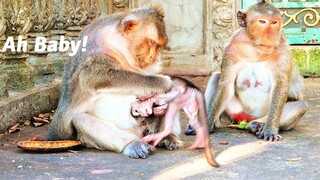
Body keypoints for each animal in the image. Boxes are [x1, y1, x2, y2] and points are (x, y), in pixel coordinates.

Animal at [47, 7, 184, 159]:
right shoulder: (96, 52)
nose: (152, 57)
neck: (115, 41)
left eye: (158, 46)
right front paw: (163, 83)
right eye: (151, 42)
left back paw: (165, 137)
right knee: (80, 119)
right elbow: (92, 76)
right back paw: (134, 144)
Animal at [205, 0, 308, 141]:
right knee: (216, 77)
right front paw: (207, 123)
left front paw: (270, 130)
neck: (257, 49)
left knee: (301, 105)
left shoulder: (283, 51)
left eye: (274, 22)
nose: (271, 34)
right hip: (237, 111)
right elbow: (226, 84)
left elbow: (280, 86)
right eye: (262, 21)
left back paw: (256, 125)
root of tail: (246, 118)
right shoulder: (231, 48)